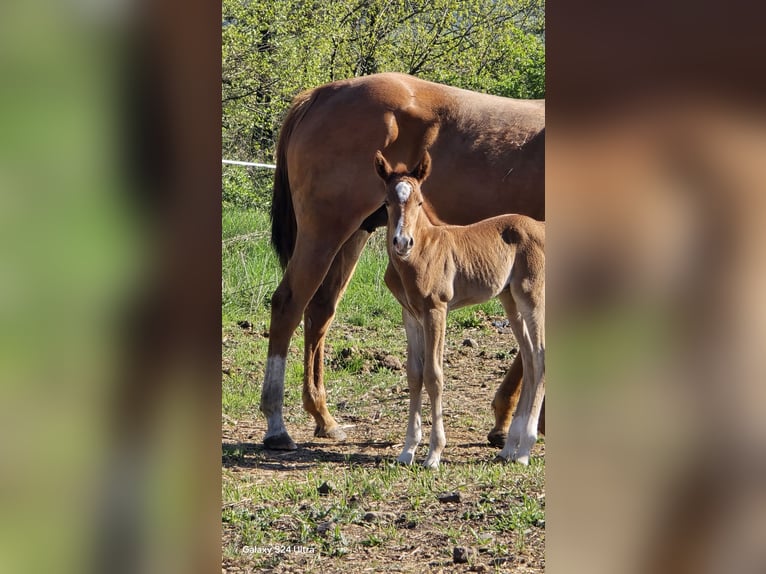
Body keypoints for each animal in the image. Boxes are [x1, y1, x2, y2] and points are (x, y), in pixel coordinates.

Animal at [374, 150, 545, 467]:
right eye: (387, 202)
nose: (402, 242)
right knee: (529, 357)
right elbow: (414, 374)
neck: (422, 251)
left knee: (540, 356)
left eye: (419, 201)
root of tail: (540, 226)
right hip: (511, 300)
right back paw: (509, 448)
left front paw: (434, 454)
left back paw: (525, 451)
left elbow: (434, 375)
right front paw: (407, 451)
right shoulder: (410, 314)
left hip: (532, 296)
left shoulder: (435, 309)